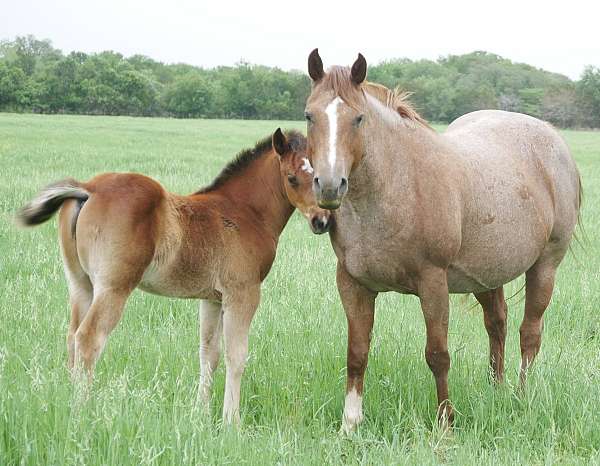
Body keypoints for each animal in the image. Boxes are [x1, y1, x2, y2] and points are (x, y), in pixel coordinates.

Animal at [18, 129, 330, 424]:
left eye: (318, 176)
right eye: (291, 178)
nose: (322, 221)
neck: (244, 212)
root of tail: (88, 188)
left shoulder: (212, 298)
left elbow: (209, 355)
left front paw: (201, 414)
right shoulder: (243, 293)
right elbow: (237, 356)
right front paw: (233, 422)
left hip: (80, 283)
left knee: (72, 336)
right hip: (114, 286)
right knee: (89, 338)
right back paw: (83, 410)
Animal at [304, 49, 580, 432]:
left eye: (358, 118)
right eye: (309, 116)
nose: (330, 187)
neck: (396, 186)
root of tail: (554, 139)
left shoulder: (433, 282)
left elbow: (437, 355)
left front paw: (446, 423)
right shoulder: (353, 284)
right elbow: (356, 354)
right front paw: (350, 425)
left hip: (546, 266)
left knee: (530, 334)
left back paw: (521, 397)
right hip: (487, 273)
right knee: (497, 324)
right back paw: (496, 390)